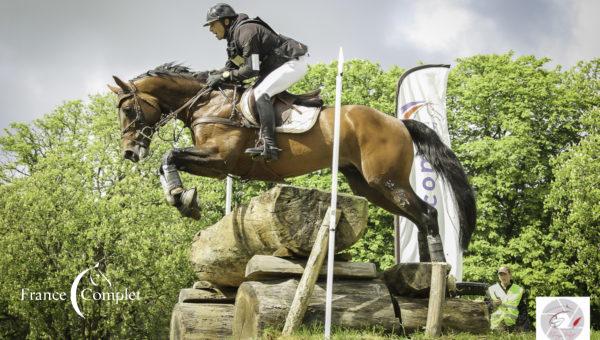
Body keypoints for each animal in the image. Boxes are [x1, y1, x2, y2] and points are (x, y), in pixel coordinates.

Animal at [106, 62, 474, 262]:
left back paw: (439, 273)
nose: (129, 153)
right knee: (419, 218)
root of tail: (398, 122)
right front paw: (179, 197)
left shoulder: (220, 161)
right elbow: (167, 161)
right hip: (368, 186)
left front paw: (183, 198)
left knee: (427, 213)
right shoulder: (216, 163)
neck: (207, 104)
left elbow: (169, 155)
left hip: (387, 180)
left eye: (129, 110)